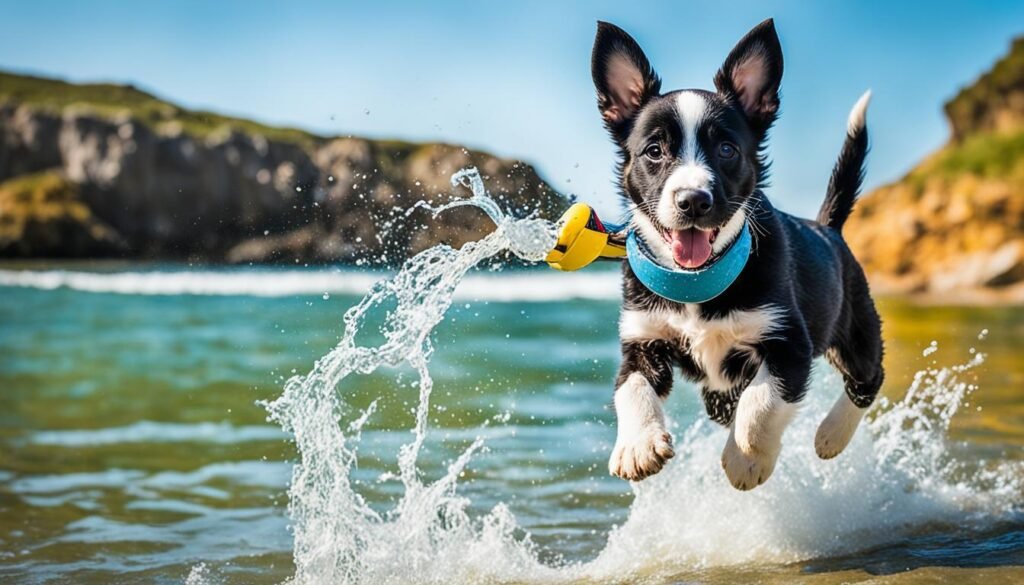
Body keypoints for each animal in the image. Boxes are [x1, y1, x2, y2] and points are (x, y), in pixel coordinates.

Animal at [598, 19, 884, 489]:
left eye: (727, 149)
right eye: (654, 151)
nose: (693, 201)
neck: (699, 281)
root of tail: (828, 227)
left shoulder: (789, 343)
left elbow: (763, 402)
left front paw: (746, 459)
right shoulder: (642, 338)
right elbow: (631, 388)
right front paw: (637, 447)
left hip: (855, 328)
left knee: (868, 378)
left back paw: (830, 435)